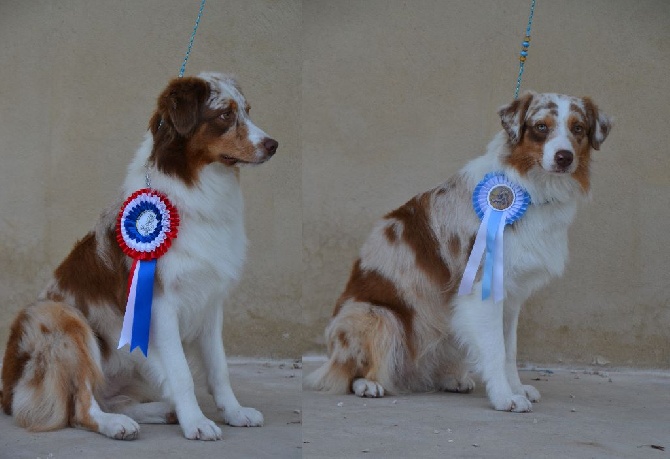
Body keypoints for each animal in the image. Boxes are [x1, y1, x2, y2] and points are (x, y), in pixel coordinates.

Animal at [0, 73, 278, 442]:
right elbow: (182, 374)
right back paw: (116, 424)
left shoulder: (209, 301)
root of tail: (6, 392)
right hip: (59, 316)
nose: (273, 144)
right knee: (80, 408)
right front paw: (197, 422)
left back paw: (161, 411)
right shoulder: (162, 305)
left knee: (114, 399)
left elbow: (219, 368)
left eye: (247, 110)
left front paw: (233, 412)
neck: (195, 185)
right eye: (224, 115)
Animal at [308, 92, 612, 414]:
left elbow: (509, 350)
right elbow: (495, 349)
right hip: (377, 316)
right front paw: (505, 397)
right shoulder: (482, 289)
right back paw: (368, 384)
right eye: (541, 127)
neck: (529, 188)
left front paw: (516, 389)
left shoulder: (511, 294)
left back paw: (450, 379)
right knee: (349, 370)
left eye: (578, 128)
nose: (564, 157)